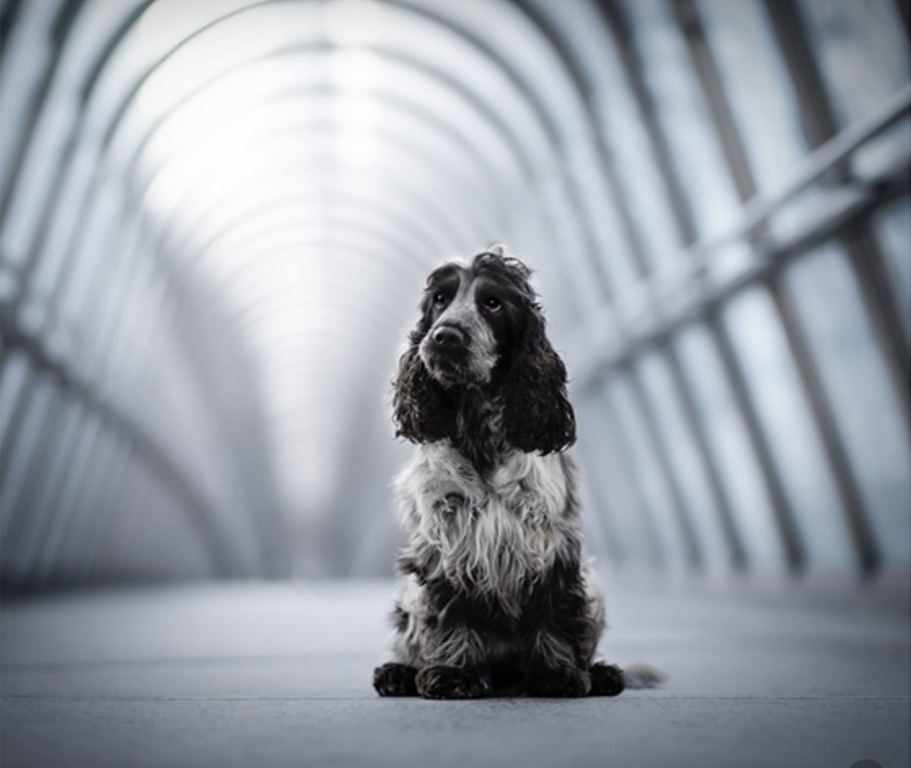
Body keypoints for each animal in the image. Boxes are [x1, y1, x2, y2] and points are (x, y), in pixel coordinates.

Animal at [376, 248, 628, 704]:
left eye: (492, 303)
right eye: (440, 299)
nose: (444, 337)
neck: (481, 432)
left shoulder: (550, 541)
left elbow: (552, 610)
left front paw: (557, 675)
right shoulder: (447, 539)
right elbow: (451, 612)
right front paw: (453, 674)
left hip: (593, 588)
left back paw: (600, 674)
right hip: (409, 594)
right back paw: (397, 673)